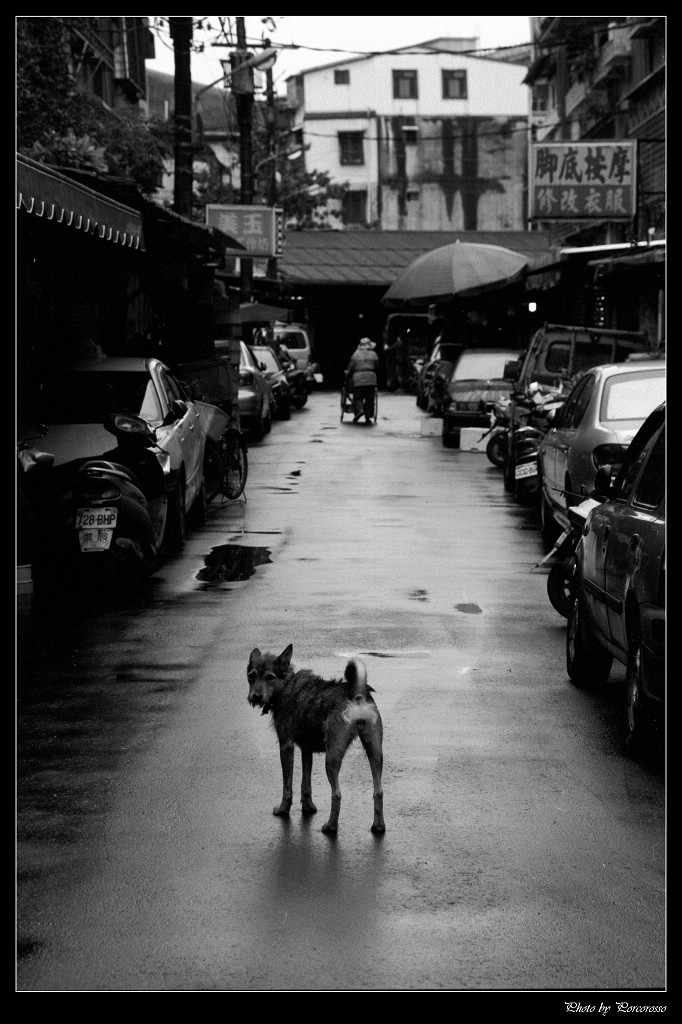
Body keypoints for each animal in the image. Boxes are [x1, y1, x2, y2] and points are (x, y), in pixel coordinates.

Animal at [245, 643, 385, 835]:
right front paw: (308, 808)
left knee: (337, 794)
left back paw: (330, 826)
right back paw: (378, 826)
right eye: (251, 676)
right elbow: (306, 784)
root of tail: (357, 693)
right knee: (378, 792)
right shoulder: (306, 749)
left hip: (332, 758)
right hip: (375, 752)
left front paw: (283, 809)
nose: (256, 696)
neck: (286, 685)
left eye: (270, 677)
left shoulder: (286, 746)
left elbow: (287, 786)